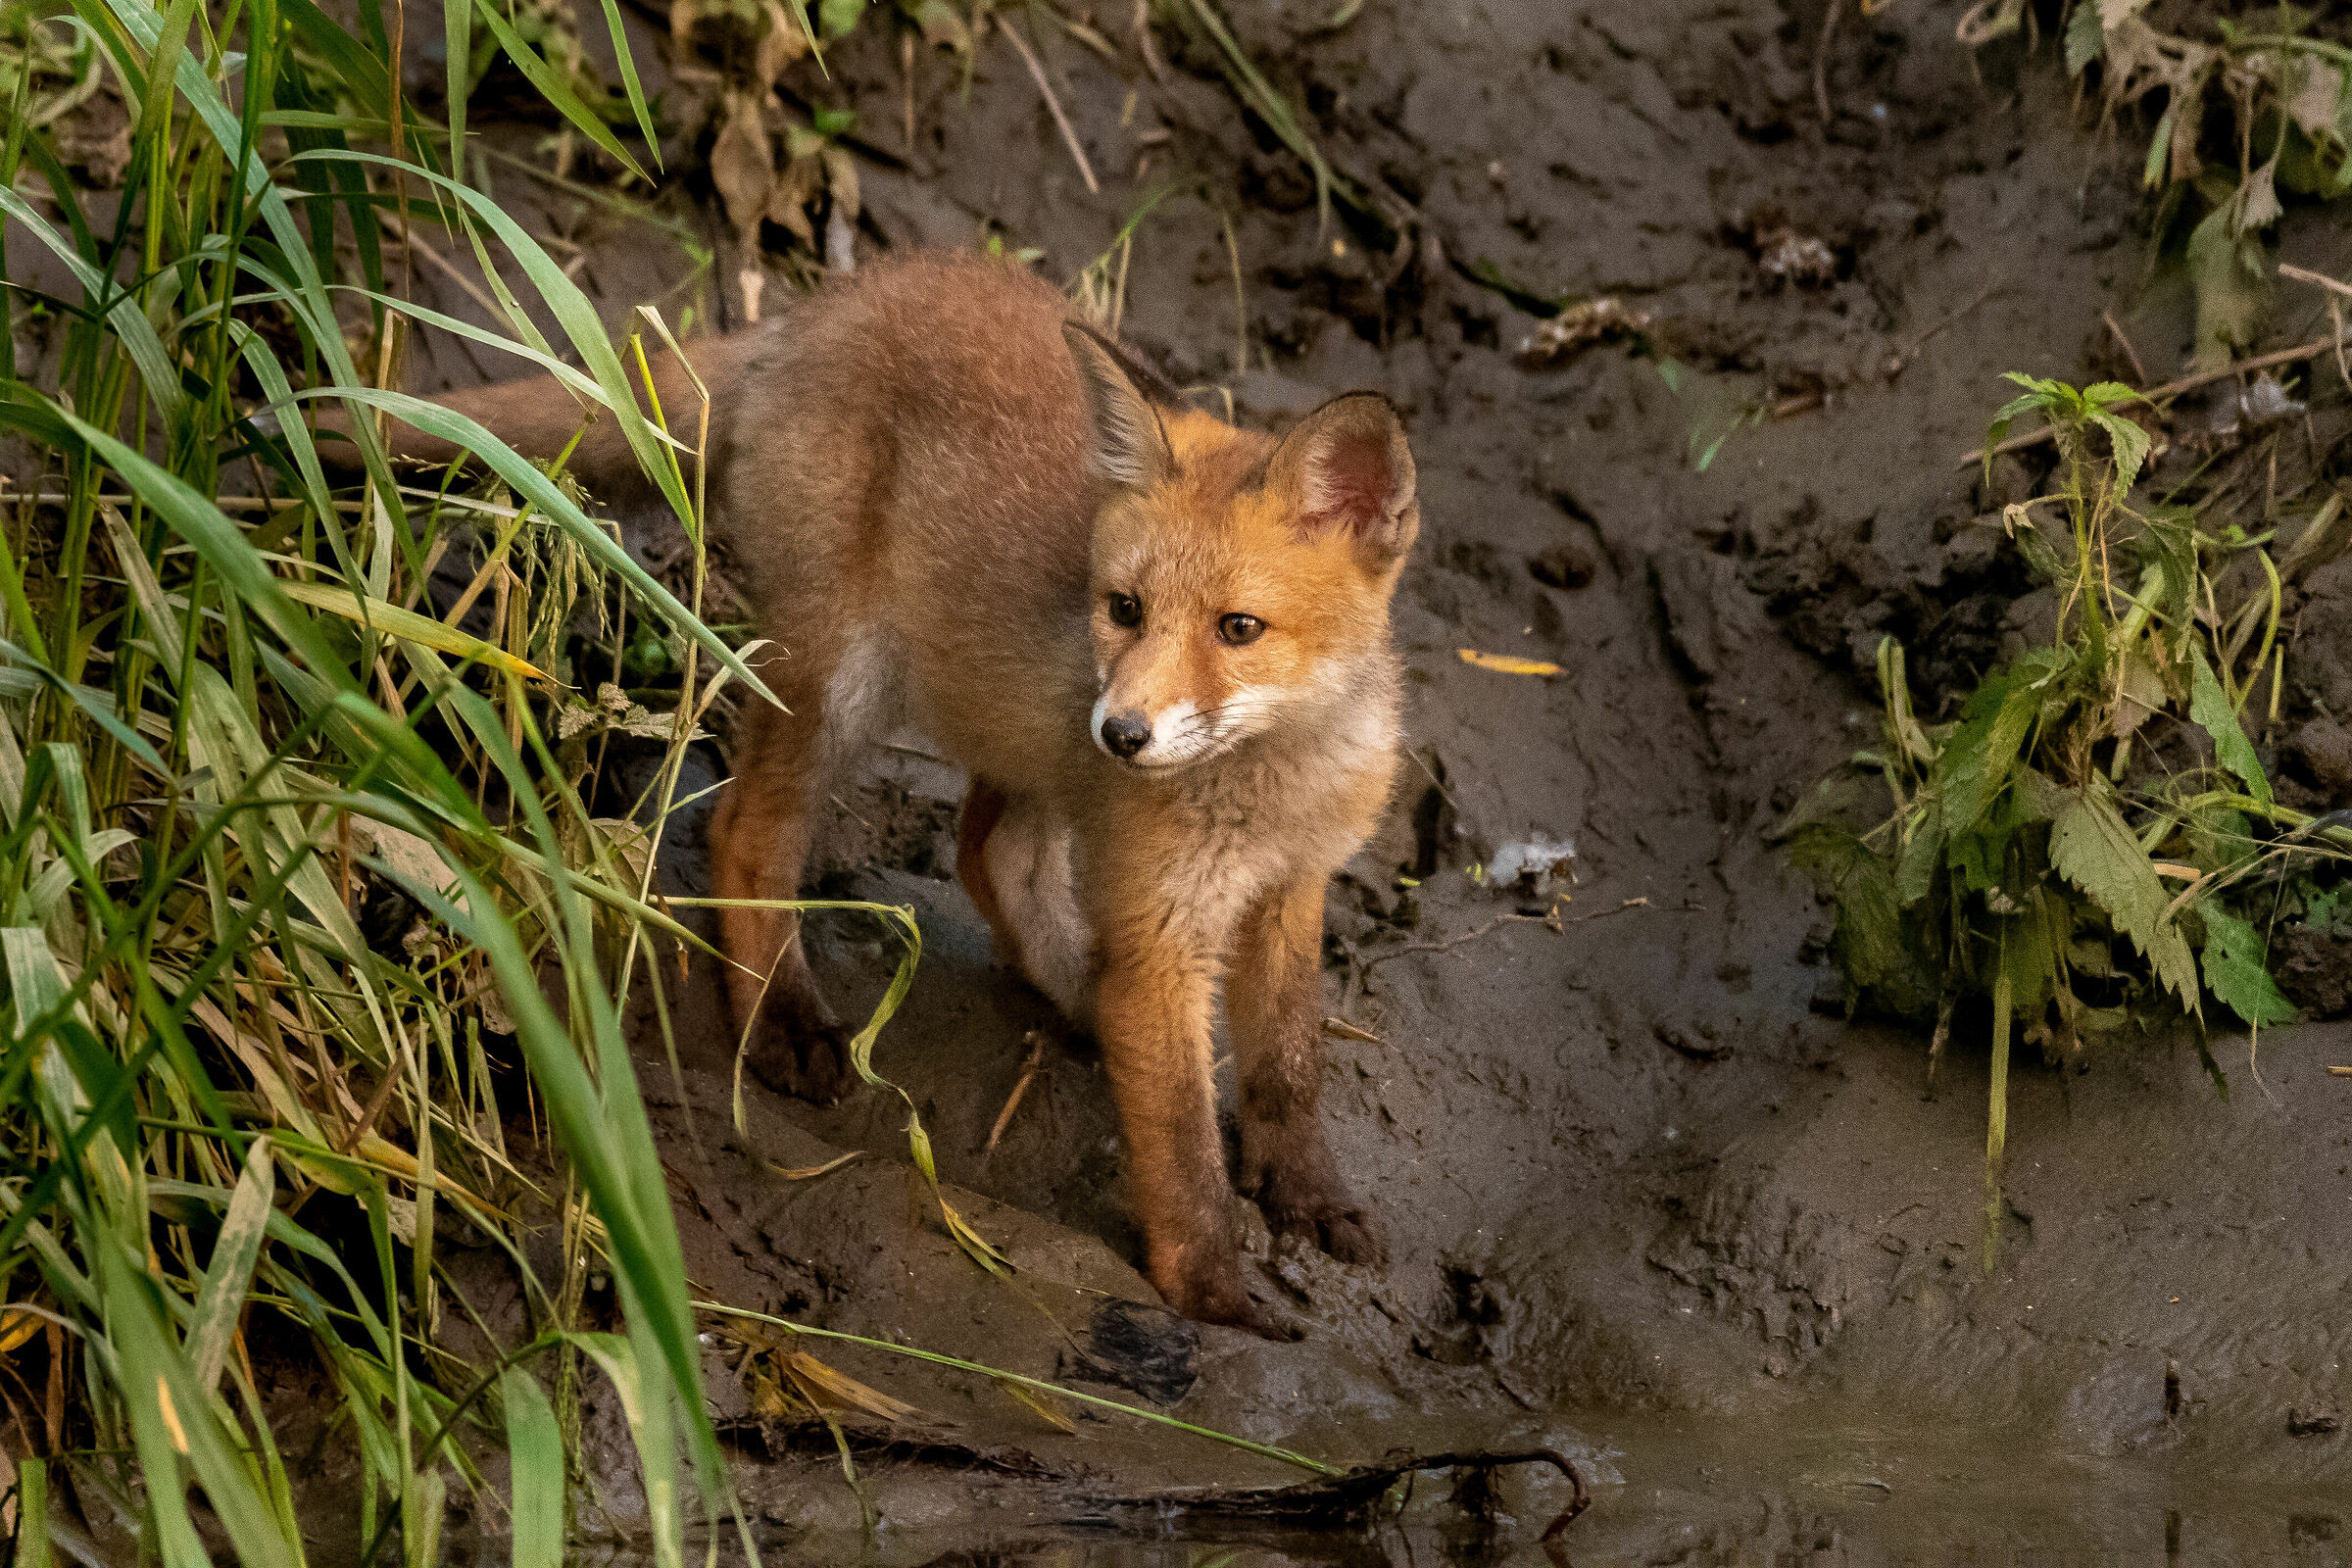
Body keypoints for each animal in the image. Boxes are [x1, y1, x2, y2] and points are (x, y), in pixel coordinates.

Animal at [335, 251, 1420, 1331]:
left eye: (1238, 629)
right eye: (1125, 609)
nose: (1122, 734)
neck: (1273, 784)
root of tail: (822, 309)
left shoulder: (1292, 890)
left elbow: (1290, 1066)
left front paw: (1311, 1198)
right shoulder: (1163, 931)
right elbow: (1186, 1153)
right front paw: (1215, 1296)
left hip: (1023, 735)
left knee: (988, 854)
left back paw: (1075, 996)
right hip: (842, 678)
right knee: (747, 831)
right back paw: (784, 1020)